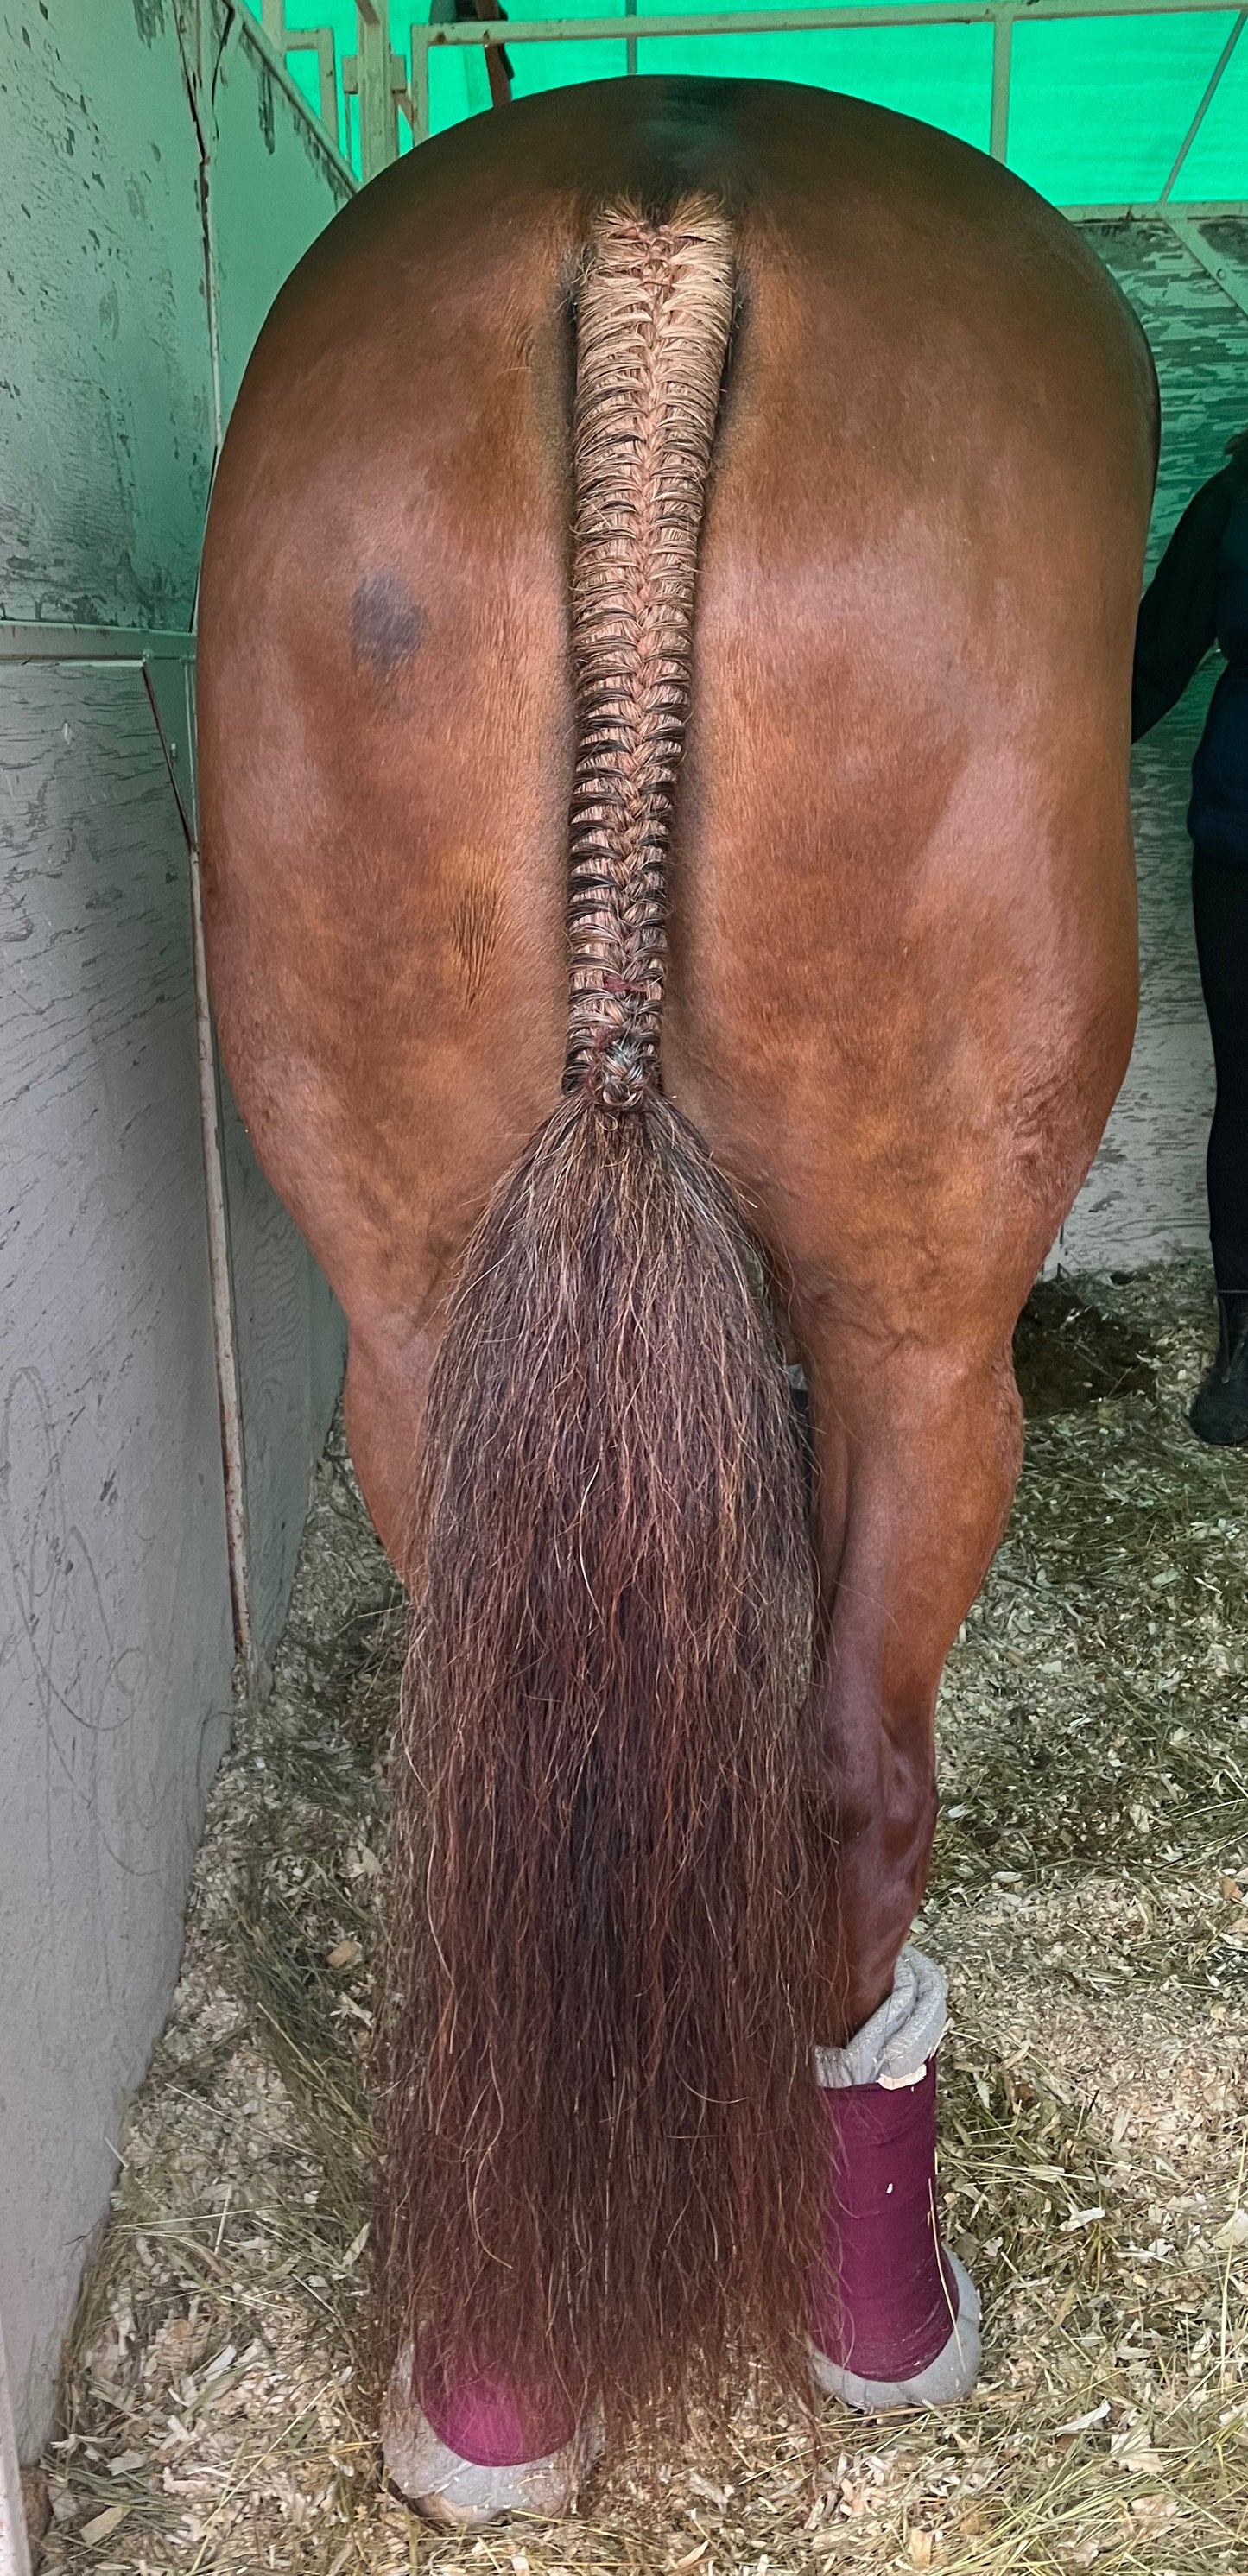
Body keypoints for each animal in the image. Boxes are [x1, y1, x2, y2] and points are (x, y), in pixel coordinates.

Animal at [197, 75, 1156, 2525]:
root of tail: (666, 189)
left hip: (414, 1314)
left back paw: (502, 2368)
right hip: (934, 1342)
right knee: (848, 1781)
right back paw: (863, 2294)